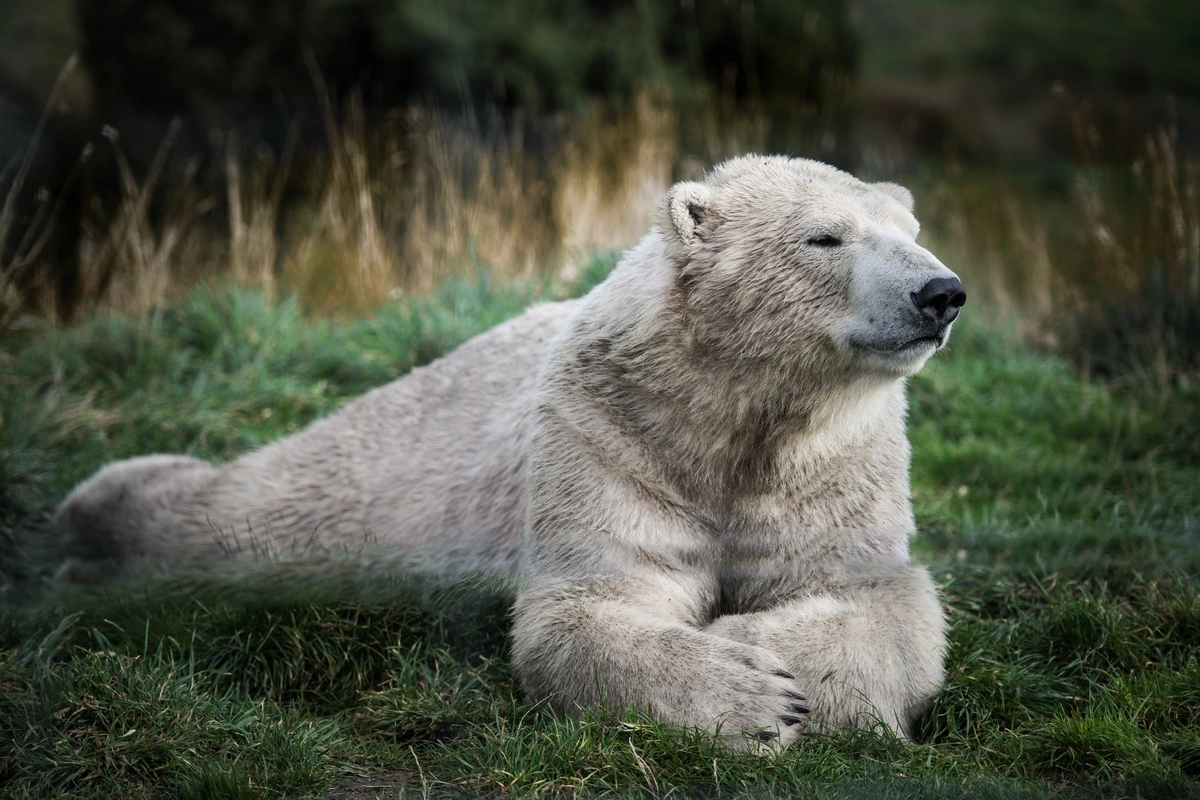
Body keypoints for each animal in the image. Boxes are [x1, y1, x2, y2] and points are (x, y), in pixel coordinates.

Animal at [54, 154, 964, 743]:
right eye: (825, 238)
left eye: (913, 229)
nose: (942, 291)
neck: (729, 412)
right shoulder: (609, 436)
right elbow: (587, 605)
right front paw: (754, 695)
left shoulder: (834, 468)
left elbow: (882, 601)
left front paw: (762, 646)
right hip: (390, 470)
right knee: (258, 514)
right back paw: (101, 512)